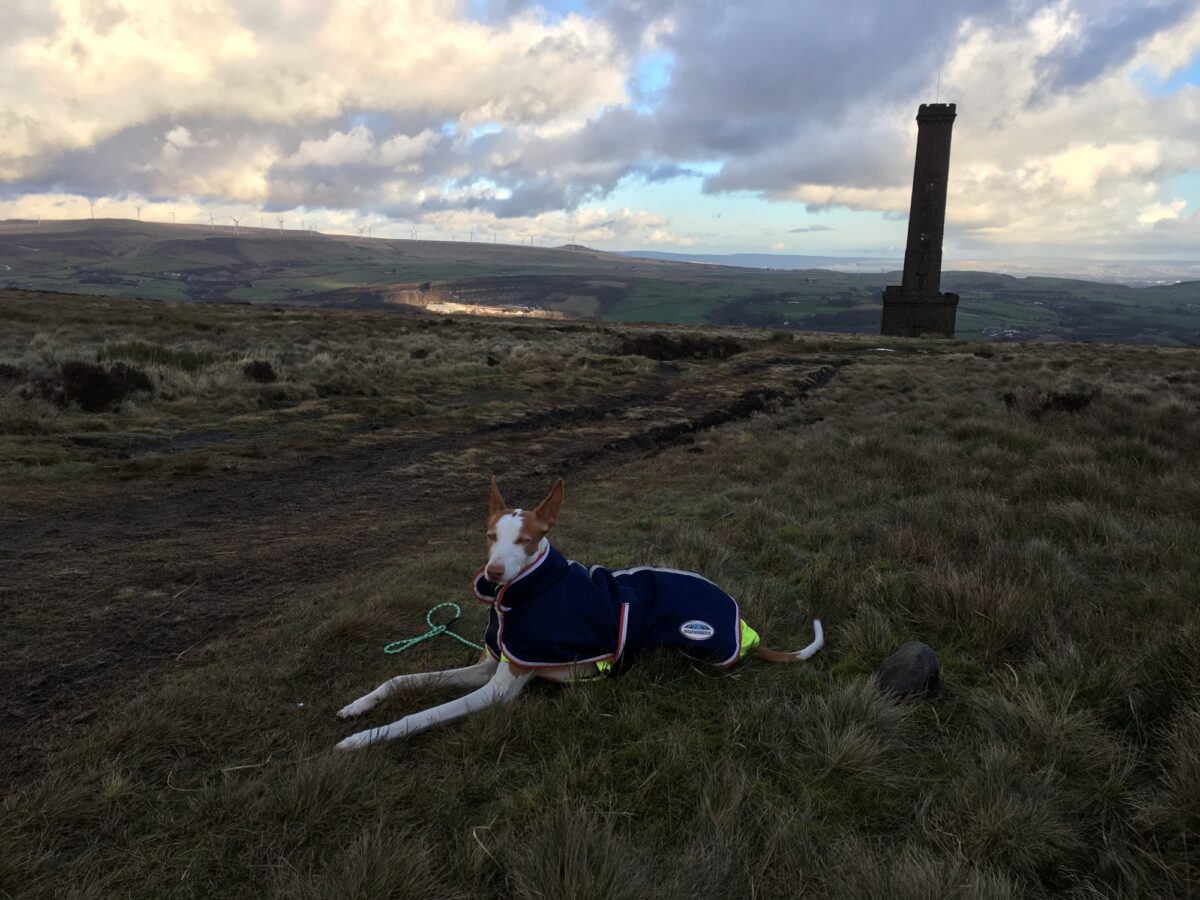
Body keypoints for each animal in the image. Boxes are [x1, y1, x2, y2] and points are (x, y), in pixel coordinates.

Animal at [338, 480, 825, 753]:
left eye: (527, 540)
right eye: (490, 535)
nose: (493, 574)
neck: (527, 591)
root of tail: (746, 627)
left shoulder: (499, 690)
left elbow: (421, 716)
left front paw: (363, 740)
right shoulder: (488, 669)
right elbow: (402, 680)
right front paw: (358, 705)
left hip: (689, 651)